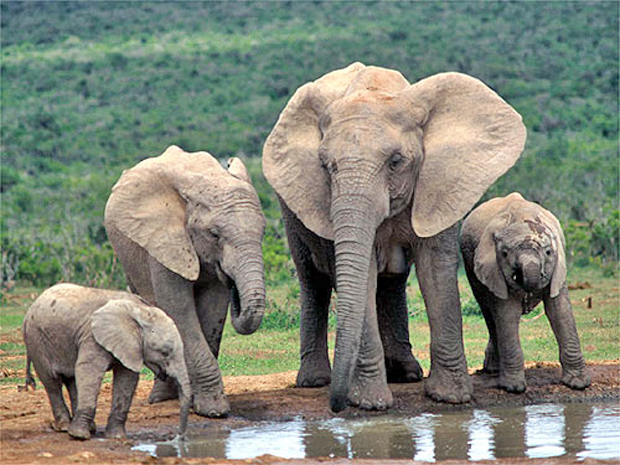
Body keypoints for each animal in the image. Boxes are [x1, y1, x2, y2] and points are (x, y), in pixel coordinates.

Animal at [21, 282, 190, 438]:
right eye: (165, 352)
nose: (178, 436)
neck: (139, 310)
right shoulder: (92, 336)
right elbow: (89, 370)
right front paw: (79, 436)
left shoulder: (130, 346)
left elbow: (127, 378)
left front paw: (116, 437)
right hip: (36, 340)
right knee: (52, 382)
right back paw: (65, 427)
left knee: (71, 379)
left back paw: (88, 428)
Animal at [104, 143, 264, 416]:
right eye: (214, 234)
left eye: (263, 231)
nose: (233, 285)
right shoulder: (163, 240)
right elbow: (179, 309)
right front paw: (214, 410)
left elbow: (212, 309)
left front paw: (202, 403)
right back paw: (161, 398)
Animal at [260, 60, 524, 410]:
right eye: (325, 166)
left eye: (396, 161)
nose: (336, 405)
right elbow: (361, 275)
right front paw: (371, 404)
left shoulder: (439, 184)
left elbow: (435, 271)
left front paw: (450, 398)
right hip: (288, 206)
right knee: (312, 280)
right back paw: (315, 381)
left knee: (392, 280)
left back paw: (406, 374)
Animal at [460, 192, 592, 392]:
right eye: (504, 254)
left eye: (548, 252)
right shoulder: (494, 269)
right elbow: (508, 314)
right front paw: (514, 388)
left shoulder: (558, 267)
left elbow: (559, 311)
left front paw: (578, 383)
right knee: (488, 312)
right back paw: (493, 369)